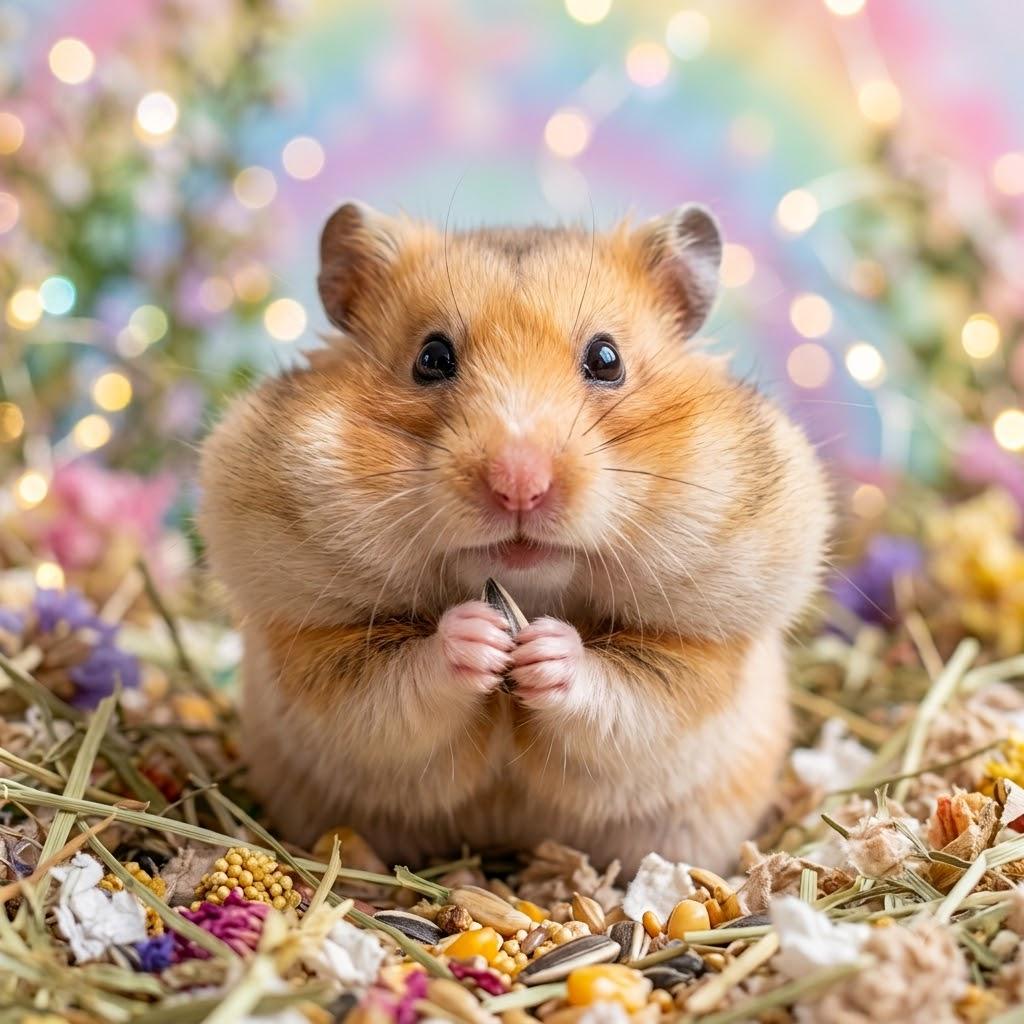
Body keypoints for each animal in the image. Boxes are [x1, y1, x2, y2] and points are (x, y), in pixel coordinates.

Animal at [199, 200, 830, 873]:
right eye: (431, 358)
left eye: (606, 360)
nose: (520, 486)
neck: (531, 587)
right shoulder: (320, 649)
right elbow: (396, 687)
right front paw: (479, 637)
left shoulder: (696, 657)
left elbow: (625, 696)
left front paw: (543, 650)